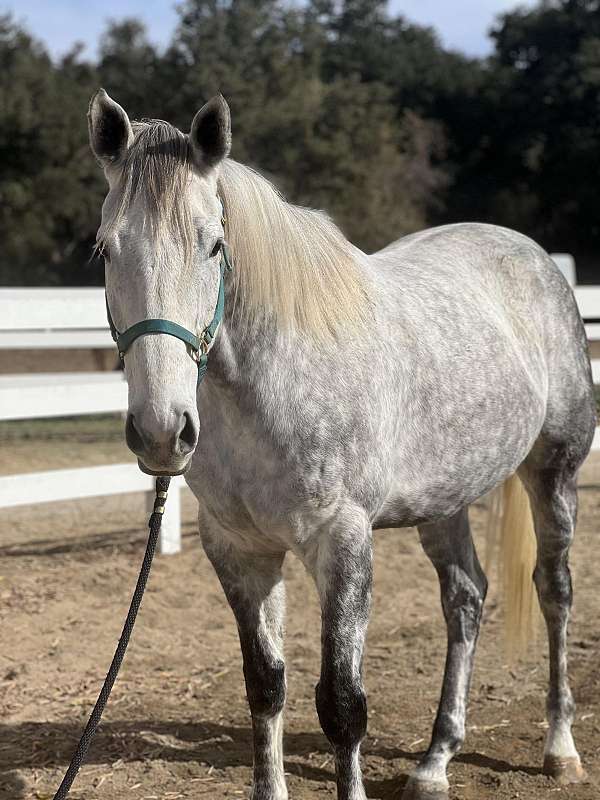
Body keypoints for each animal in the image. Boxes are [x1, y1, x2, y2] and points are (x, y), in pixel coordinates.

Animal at [88, 89, 596, 800]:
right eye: (107, 249)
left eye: (215, 246)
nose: (163, 431)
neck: (270, 383)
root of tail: (536, 259)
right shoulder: (240, 551)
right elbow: (265, 686)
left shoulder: (343, 543)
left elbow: (342, 706)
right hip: (444, 501)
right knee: (465, 599)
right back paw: (435, 761)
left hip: (554, 473)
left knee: (554, 591)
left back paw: (560, 748)